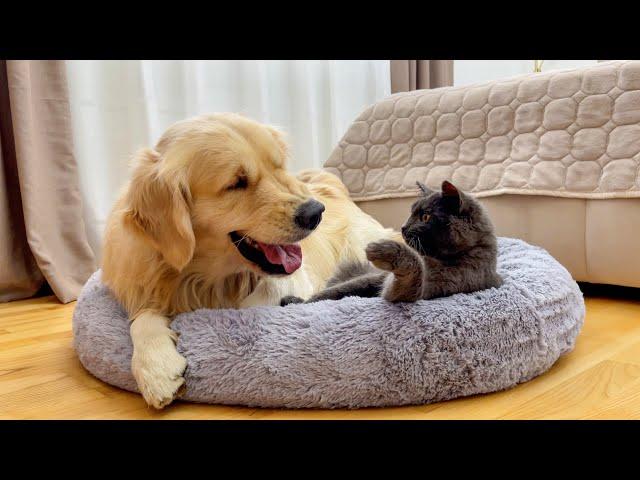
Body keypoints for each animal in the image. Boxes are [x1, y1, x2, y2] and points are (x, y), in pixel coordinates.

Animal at [282, 180, 502, 304]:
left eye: (425, 217)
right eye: (411, 212)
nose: (403, 227)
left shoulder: (419, 291)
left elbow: (413, 275)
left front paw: (386, 251)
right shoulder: (375, 278)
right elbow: (333, 292)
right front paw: (297, 301)